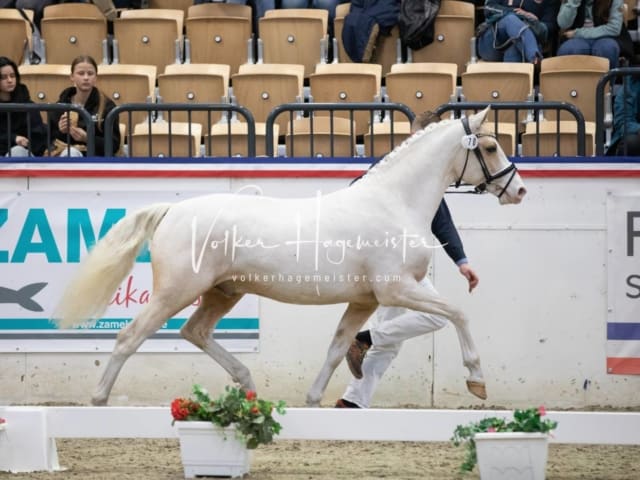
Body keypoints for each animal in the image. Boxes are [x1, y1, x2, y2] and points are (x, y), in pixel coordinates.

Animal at [53, 109, 524, 404]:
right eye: (490, 147)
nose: (518, 190)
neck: (393, 203)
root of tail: (172, 211)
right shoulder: (397, 291)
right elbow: (459, 313)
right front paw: (477, 380)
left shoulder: (364, 301)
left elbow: (337, 348)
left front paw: (313, 400)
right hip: (176, 292)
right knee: (129, 337)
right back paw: (99, 399)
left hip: (224, 293)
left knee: (195, 332)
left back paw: (246, 385)